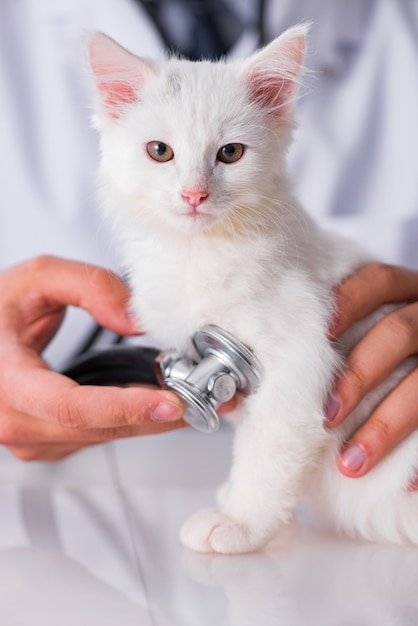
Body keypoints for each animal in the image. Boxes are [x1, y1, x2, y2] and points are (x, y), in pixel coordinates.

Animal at [88, 25, 418, 552]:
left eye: (230, 153)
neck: (198, 252)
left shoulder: (298, 360)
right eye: (160, 151)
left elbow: (269, 453)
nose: (194, 195)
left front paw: (240, 522)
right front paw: (234, 504)